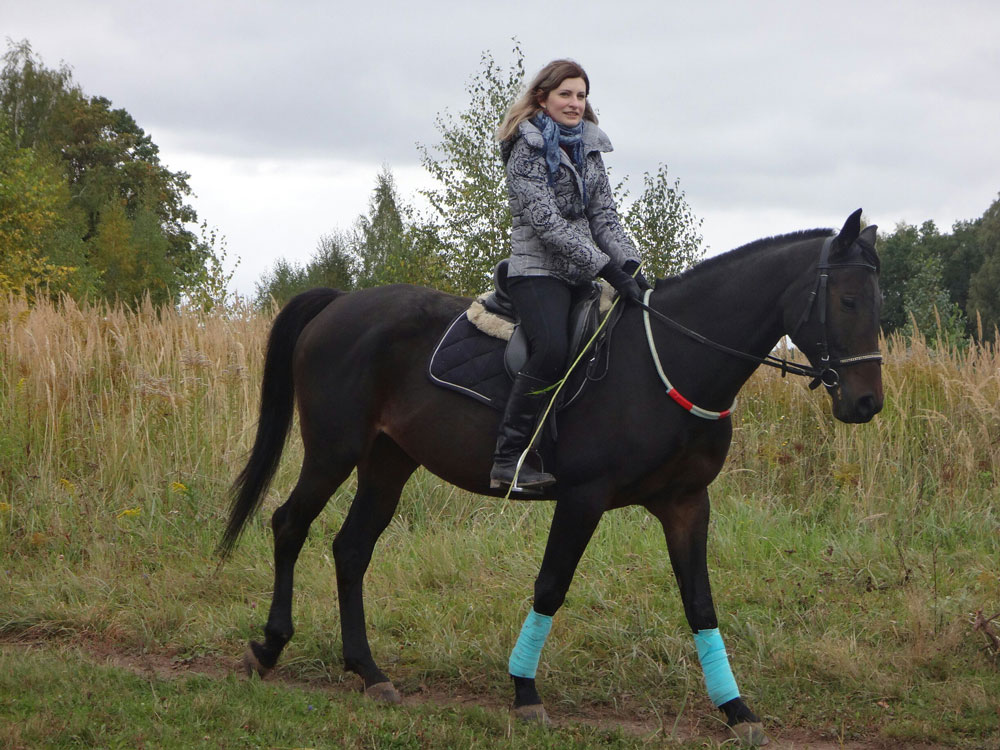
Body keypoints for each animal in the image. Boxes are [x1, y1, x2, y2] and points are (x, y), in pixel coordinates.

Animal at [219, 209, 884, 748]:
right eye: (848, 300)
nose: (867, 403)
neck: (669, 360)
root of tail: (340, 303)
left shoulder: (687, 504)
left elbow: (700, 603)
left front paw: (736, 709)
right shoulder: (582, 499)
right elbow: (550, 588)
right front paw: (524, 693)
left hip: (388, 462)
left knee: (351, 549)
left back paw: (369, 672)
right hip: (333, 452)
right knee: (289, 525)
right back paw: (270, 646)